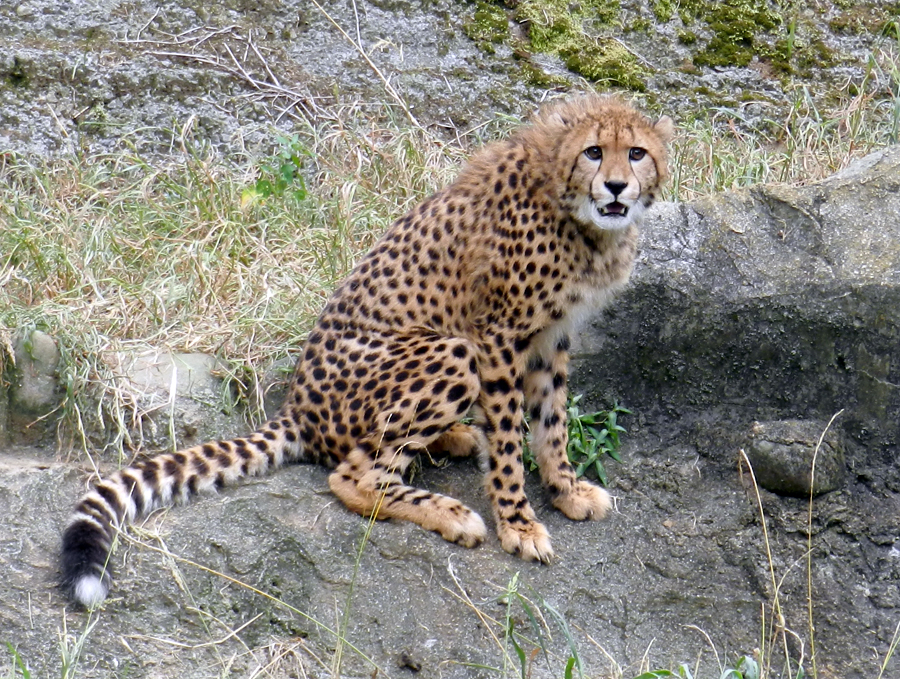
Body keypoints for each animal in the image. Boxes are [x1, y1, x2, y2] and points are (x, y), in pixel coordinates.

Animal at [59, 94, 672, 604]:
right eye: (593, 152)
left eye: (635, 153)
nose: (617, 187)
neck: (575, 211)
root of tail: (296, 407)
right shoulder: (497, 335)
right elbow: (508, 439)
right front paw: (517, 523)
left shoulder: (551, 335)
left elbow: (552, 421)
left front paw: (566, 489)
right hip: (452, 353)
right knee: (353, 477)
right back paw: (453, 513)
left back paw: (454, 437)